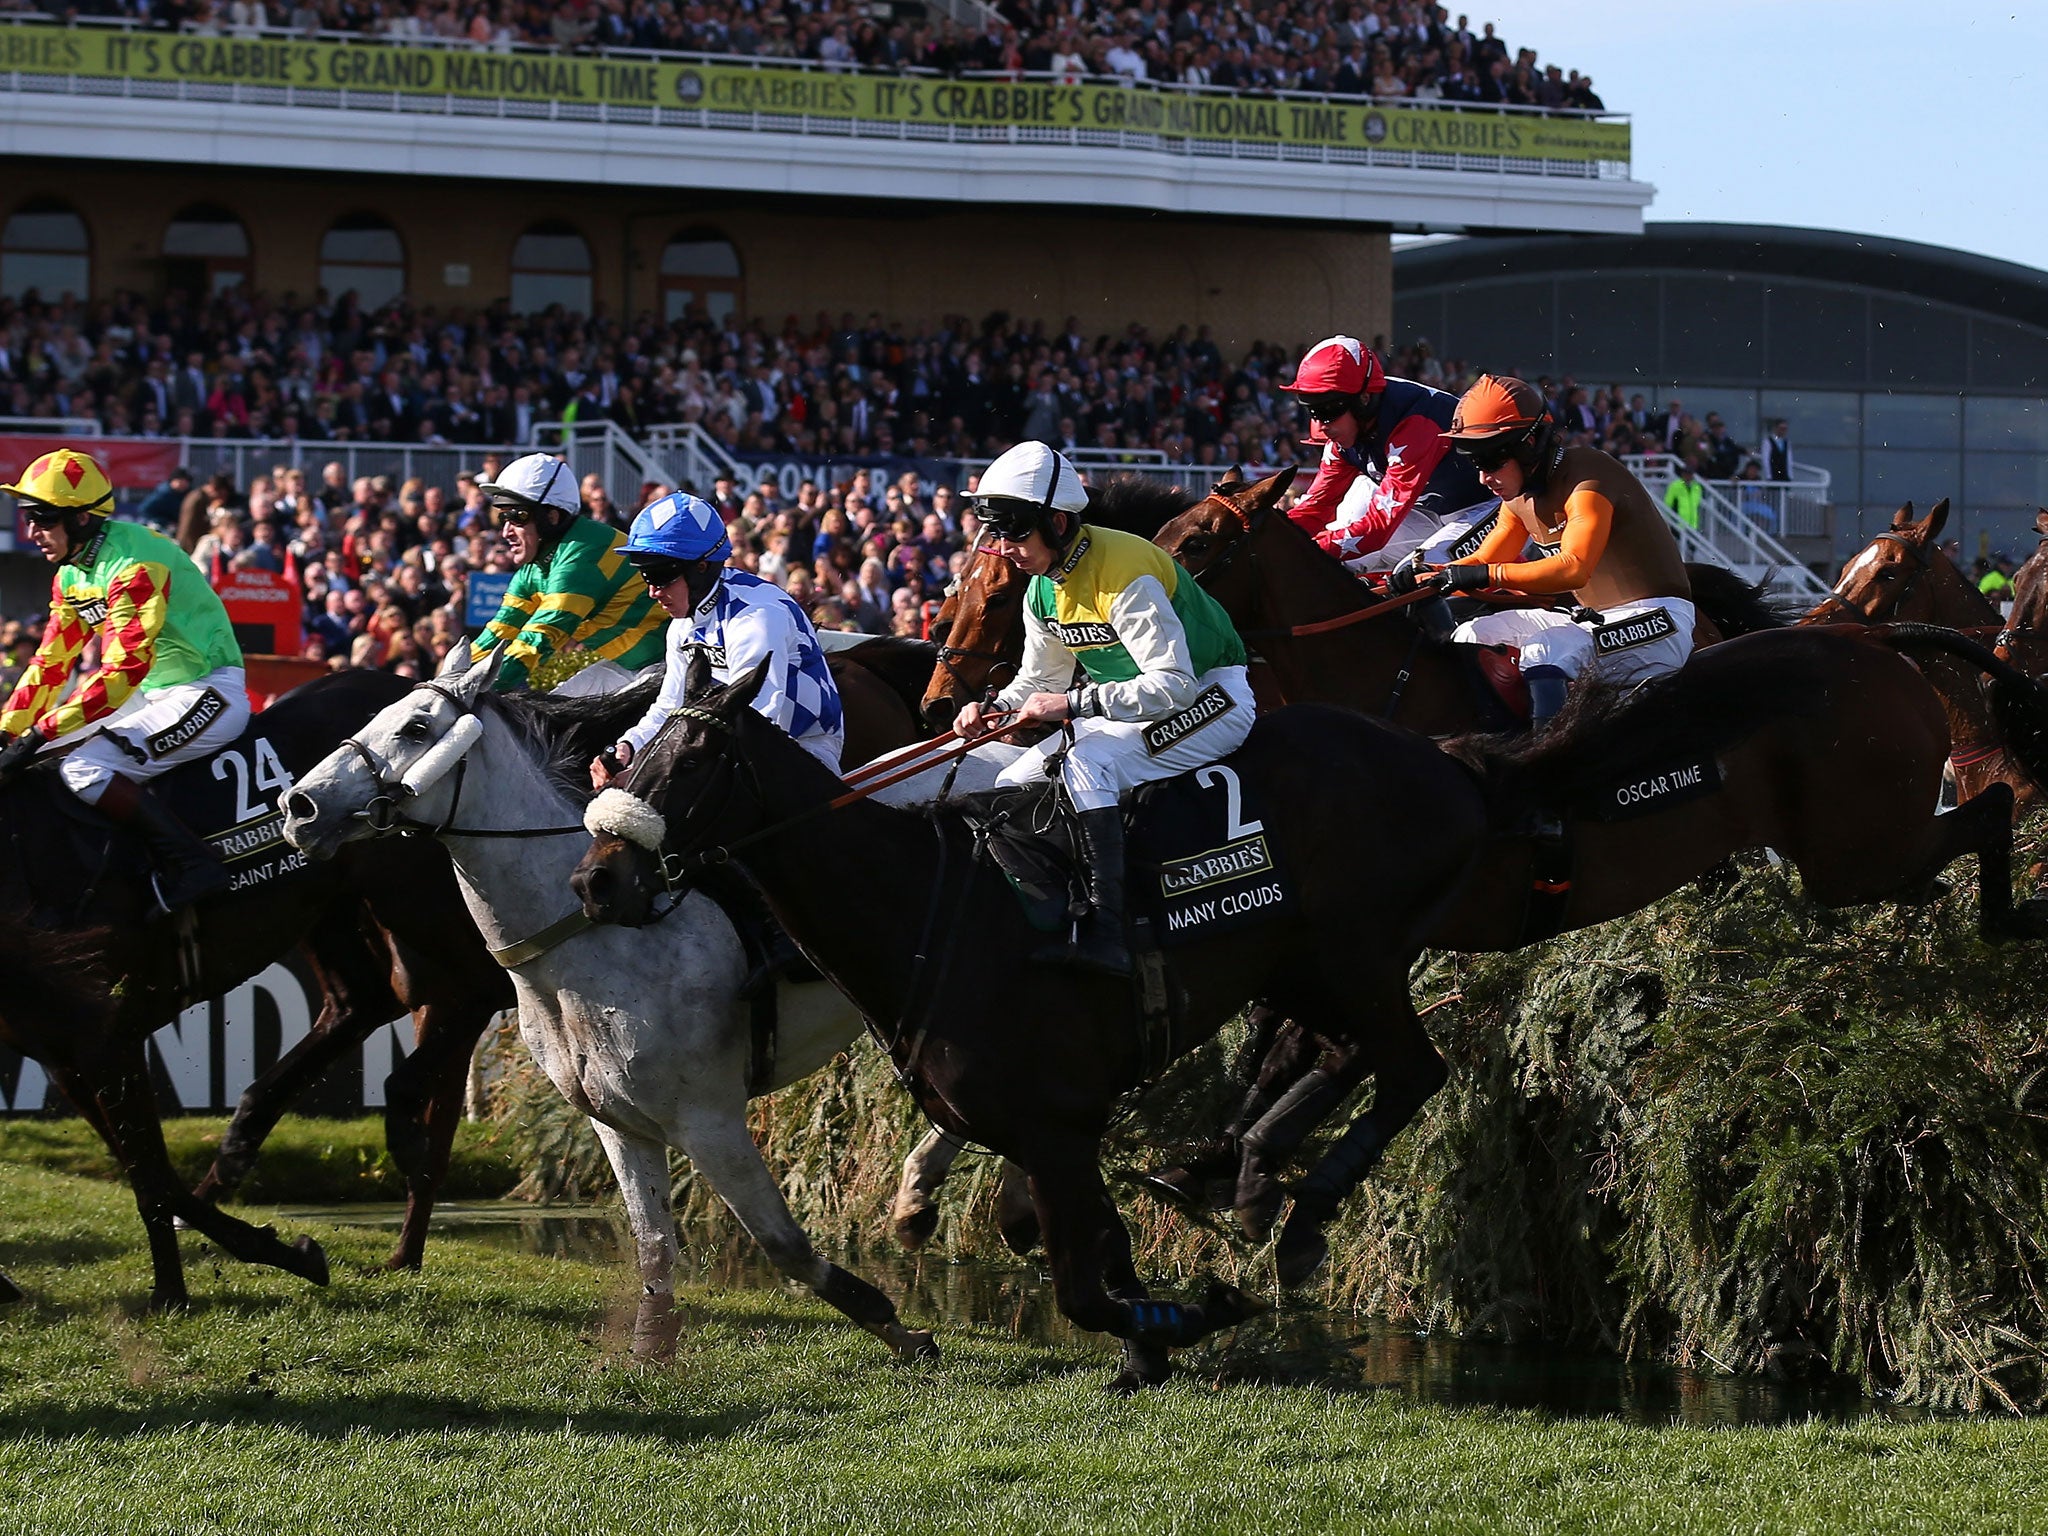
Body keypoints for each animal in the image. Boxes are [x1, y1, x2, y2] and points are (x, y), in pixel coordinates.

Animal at [0, 671, 512, 1310]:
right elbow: (151, 1174)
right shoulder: (60, 1051)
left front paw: (172, 1293)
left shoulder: (106, 1032)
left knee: (484, 985)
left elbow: (152, 1178)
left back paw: (402, 1133)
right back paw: (245, 1142)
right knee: (365, 1001)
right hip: (334, 907)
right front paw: (273, 1251)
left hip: (420, 897)